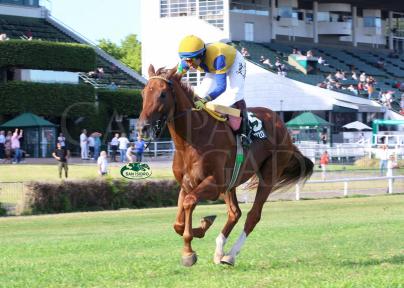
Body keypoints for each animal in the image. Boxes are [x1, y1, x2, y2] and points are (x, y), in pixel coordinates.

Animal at [137, 64, 314, 266]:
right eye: (143, 93)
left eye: (163, 94)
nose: (142, 128)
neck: (192, 140)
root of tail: (282, 125)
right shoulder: (187, 184)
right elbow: (178, 224)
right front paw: (201, 227)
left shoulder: (214, 184)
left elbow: (189, 204)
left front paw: (189, 252)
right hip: (231, 183)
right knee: (234, 212)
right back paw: (219, 250)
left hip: (268, 175)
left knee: (253, 215)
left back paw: (230, 254)